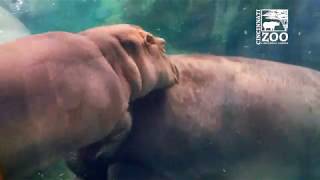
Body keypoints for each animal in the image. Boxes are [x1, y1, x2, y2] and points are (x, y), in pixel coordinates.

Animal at [0, 24, 179, 180]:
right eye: (161, 45)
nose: (176, 68)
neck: (112, 57)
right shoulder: (114, 115)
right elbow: (126, 124)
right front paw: (96, 157)